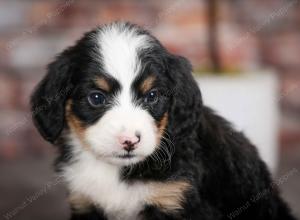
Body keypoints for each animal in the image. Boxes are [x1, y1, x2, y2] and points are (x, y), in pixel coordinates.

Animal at [29, 21, 296, 220]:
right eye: (96, 98)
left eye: (152, 96)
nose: (129, 141)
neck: (119, 174)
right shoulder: (85, 202)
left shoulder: (175, 200)